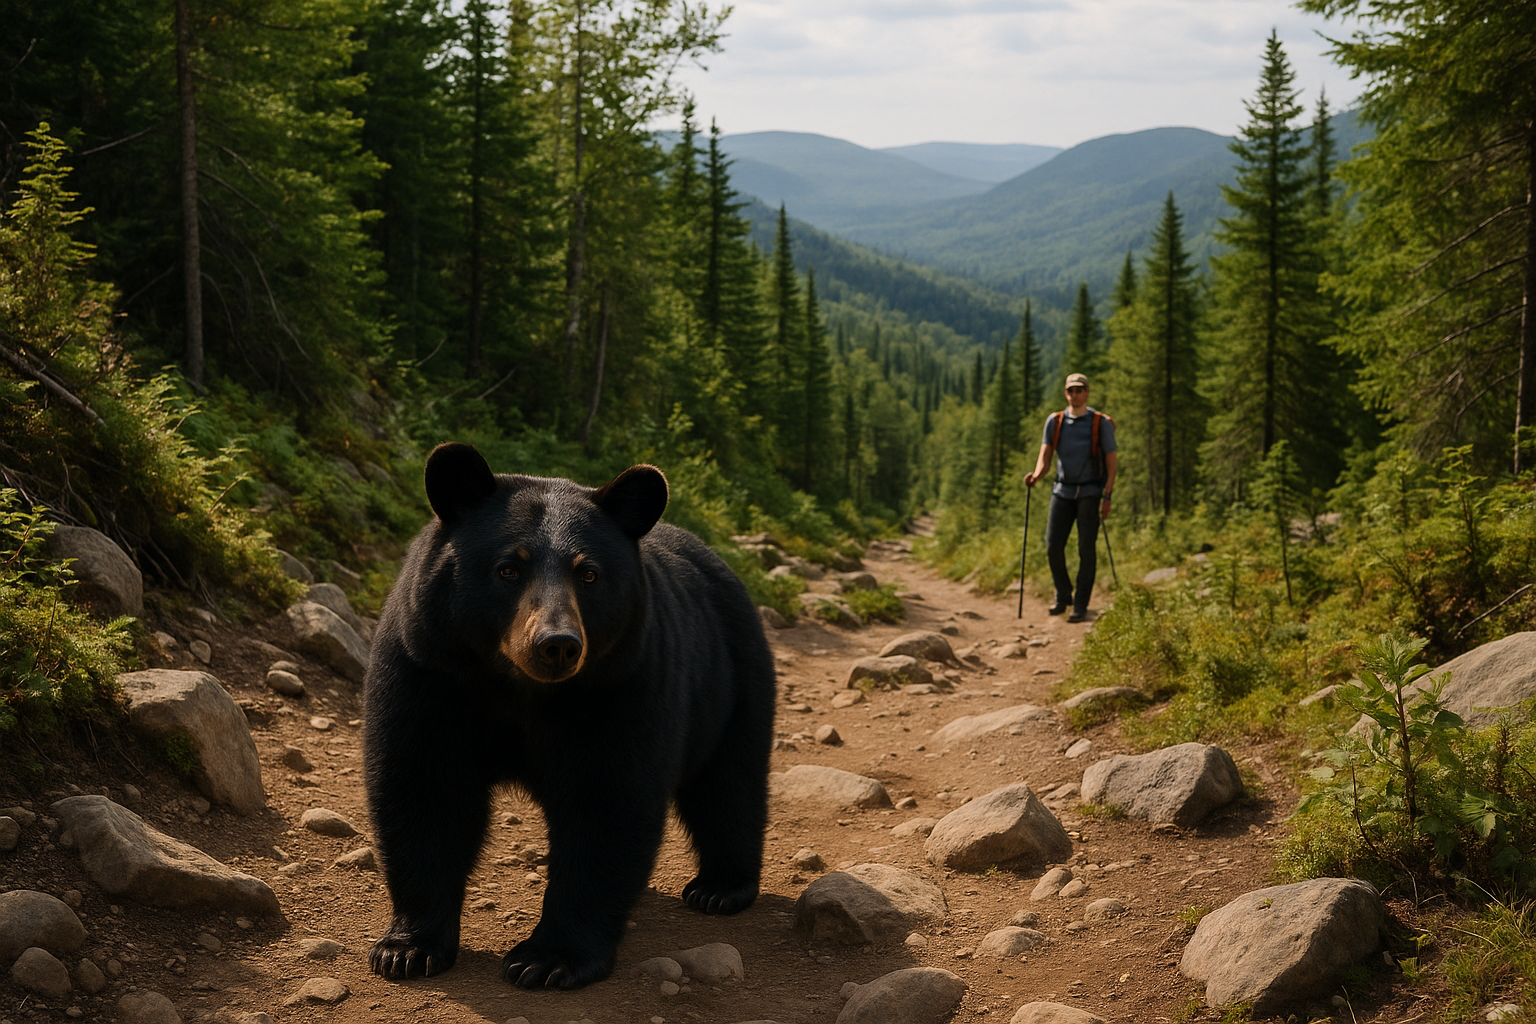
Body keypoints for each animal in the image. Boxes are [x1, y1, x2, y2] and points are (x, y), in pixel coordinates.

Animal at [362, 442, 776, 989]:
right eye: (509, 568)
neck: (519, 687)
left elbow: (606, 802)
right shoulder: (429, 672)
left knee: (730, 783)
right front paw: (408, 948)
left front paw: (549, 958)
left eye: (589, 573)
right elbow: (426, 787)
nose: (557, 644)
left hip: (731, 679)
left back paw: (720, 887)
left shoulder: (622, 684)